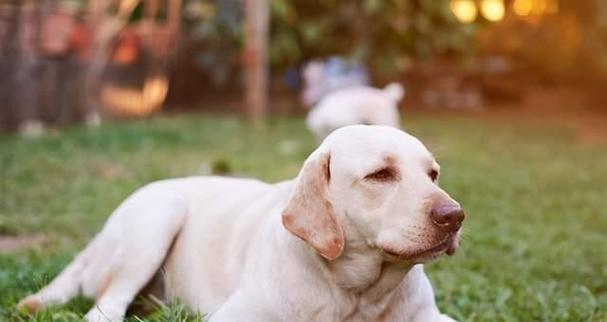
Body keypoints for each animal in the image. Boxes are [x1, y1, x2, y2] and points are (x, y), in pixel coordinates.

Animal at [19, 124, 466, 320]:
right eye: (380, 175)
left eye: (433, 175)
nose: (455, 216)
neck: (357, 294)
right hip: (160, 212)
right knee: (105, 306)